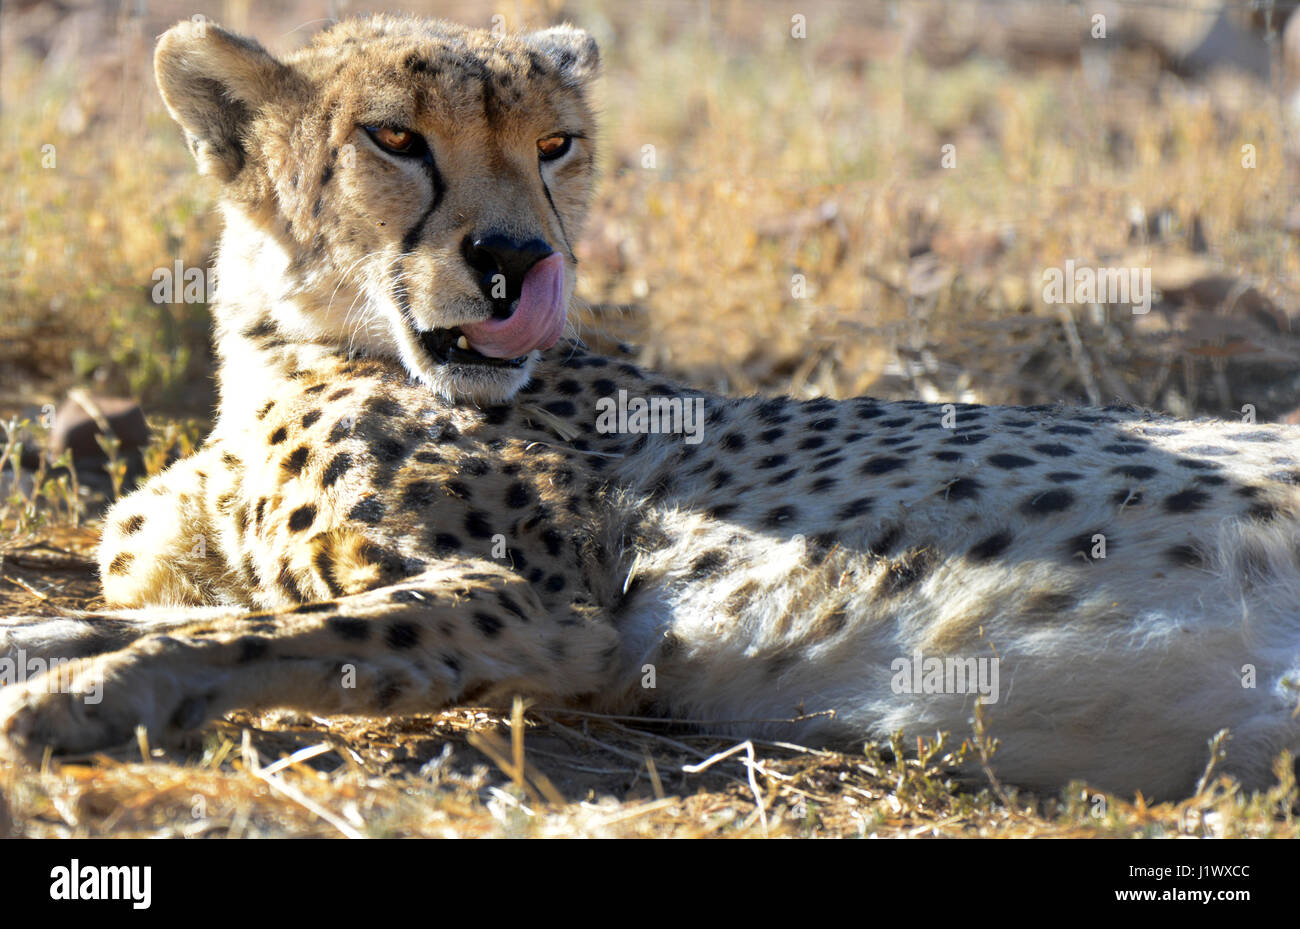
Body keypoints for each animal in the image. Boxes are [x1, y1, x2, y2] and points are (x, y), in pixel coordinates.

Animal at [2, 12, 1300, 800]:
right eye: (393, 137)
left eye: (555, 145)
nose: (514, 258)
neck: (296, 347)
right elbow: (141, 607)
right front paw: (52, 651)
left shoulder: (551, 612)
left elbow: (262, 632)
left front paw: (86, 697)